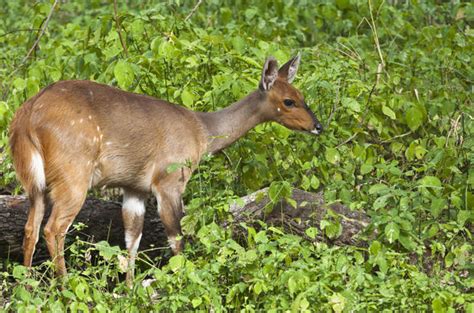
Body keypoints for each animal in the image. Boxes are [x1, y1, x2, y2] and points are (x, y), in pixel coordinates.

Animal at [9, 53, 324, 282]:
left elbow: (132, 240)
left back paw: (29, 284)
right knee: (53, 228)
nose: (318, 126)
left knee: (31, 227)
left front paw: (130, 289)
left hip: (34, 182)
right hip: (73, 176)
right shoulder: (169, 181)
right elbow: (177, 238)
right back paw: (64, 285)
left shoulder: (135, 188)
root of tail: (26, 117)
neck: (202, 132)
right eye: (288, 101)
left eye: (303, 96)